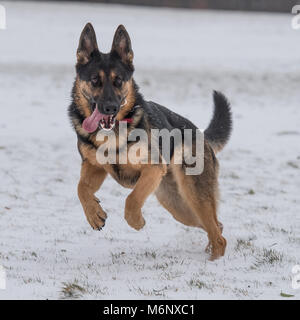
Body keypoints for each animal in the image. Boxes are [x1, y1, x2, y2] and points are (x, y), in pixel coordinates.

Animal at [68, 24, 232, 260]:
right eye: (94, 80)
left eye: (118, 80)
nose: (110, 107)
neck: (113, 135)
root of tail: (201, 134)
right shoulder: (94, 167)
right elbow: (81, 188)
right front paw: (94, 214)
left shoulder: (153, 168)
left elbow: (132, 199)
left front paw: (136, 221)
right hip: (178, 207)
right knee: (217, 227)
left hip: (194, 198)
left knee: (218, 234)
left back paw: (214, 262)